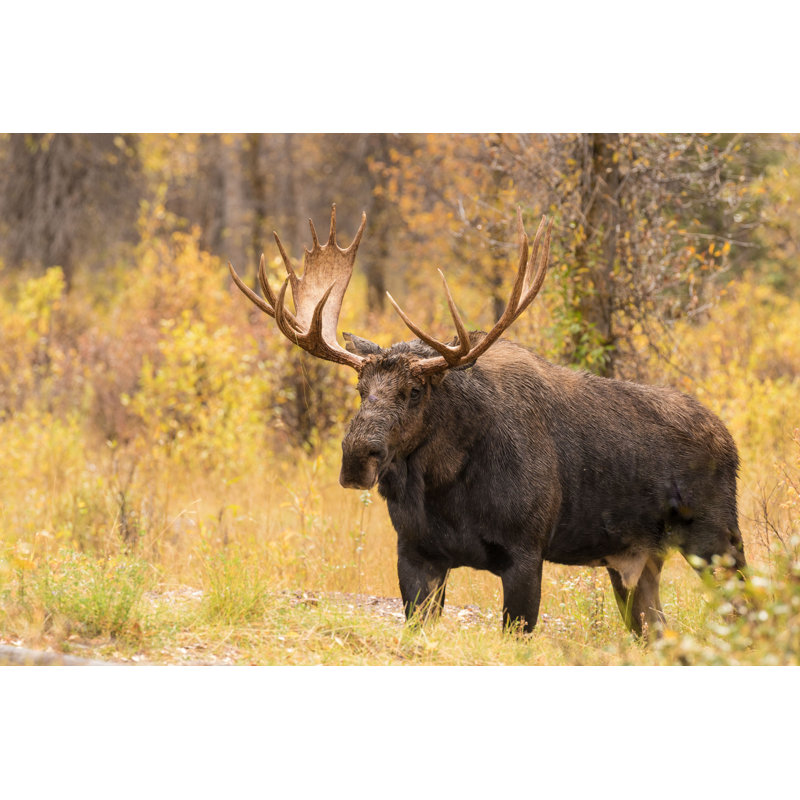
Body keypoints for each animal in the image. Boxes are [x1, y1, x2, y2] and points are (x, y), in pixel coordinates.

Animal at [228, 205, 747, 638]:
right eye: (360, 389)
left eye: (415, 392)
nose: (357, 458)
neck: (444, 488)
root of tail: (730, 441)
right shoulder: (415, 554)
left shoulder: (525, 554)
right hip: (636, 561)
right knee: (656, 631)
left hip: (718, 541)